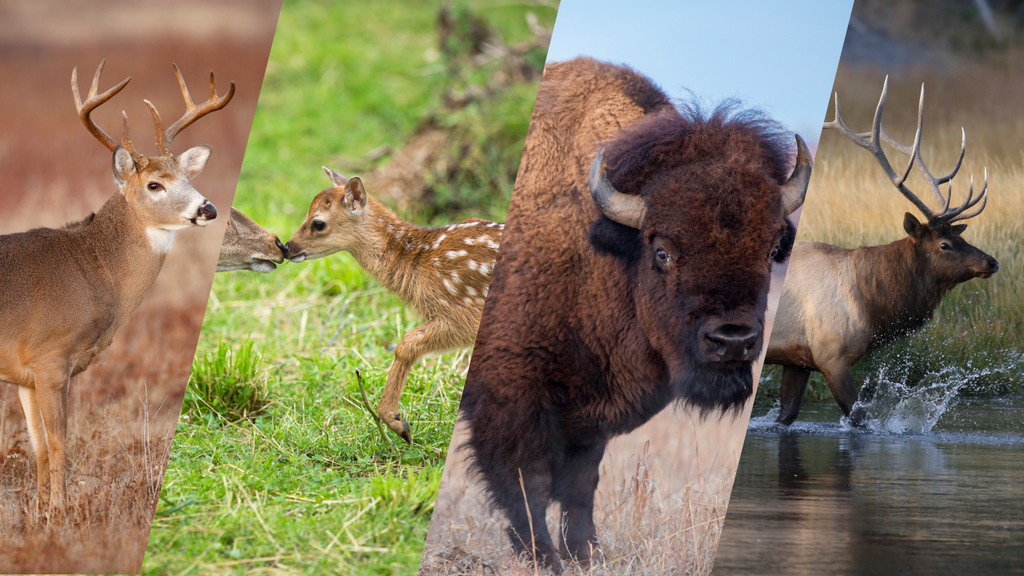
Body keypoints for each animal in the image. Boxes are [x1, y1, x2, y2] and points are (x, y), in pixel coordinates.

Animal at [0, 60, 232, 518]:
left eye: (187, 176)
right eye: (154, 185)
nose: (208, 208)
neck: (92, 272)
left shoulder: (25, 374)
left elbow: (37, 446)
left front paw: (41, 512)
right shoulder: (51, 358)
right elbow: (59, 442)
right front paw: (61, 513)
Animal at [284, 166, 503, 438]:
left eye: (318, 223)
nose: (286, 247)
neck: (420, 259)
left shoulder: (463, 313)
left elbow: (405, 343)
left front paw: (398, 423)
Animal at [460, 56, 811, 565]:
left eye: (770, 250)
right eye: (663, 251)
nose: (733, 341)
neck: (599, 248)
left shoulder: (586, 420)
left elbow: (580, 485)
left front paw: (586, 554)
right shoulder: (510, 396)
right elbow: (530, 484)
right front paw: (545, 558)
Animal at [770, 76, 995, 424]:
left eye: (959, 240)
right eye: (944, 244)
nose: (991, 262)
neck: (871, 305)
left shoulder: (798, 358)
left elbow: (786, 417)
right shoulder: (832, 356)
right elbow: (860, 418)